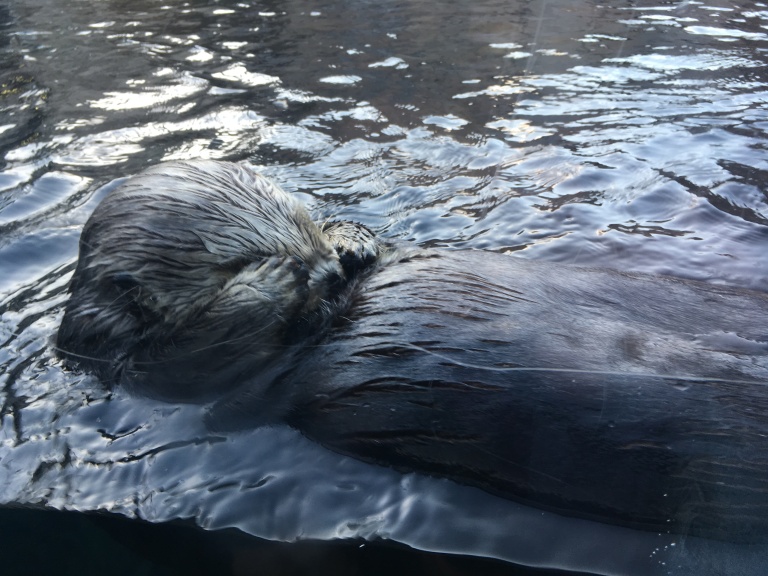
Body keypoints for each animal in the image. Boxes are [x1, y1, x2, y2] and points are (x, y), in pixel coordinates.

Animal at [57, 160, 768, 544]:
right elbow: (209, 345)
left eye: (305, 221)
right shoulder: (162, 367)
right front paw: (290, 278)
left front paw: (352, 242)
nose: (324, 265)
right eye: (239, 261)